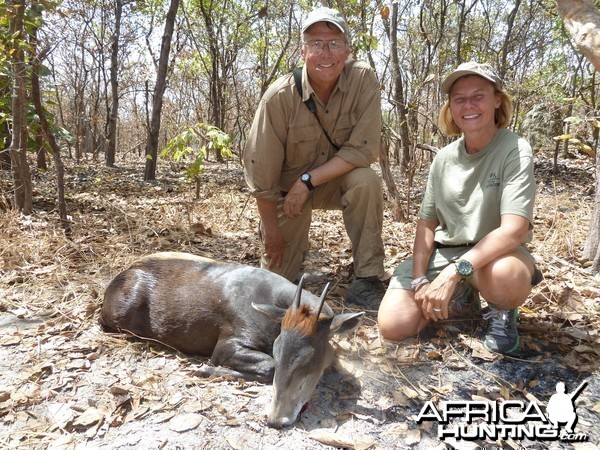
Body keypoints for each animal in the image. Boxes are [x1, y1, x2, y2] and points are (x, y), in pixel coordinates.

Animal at [100, 251, 364, 428]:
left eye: (309, 358)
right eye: (277, 349)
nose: (276, 419)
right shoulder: (229, 341)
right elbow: (267, 366)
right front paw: (205, 369)